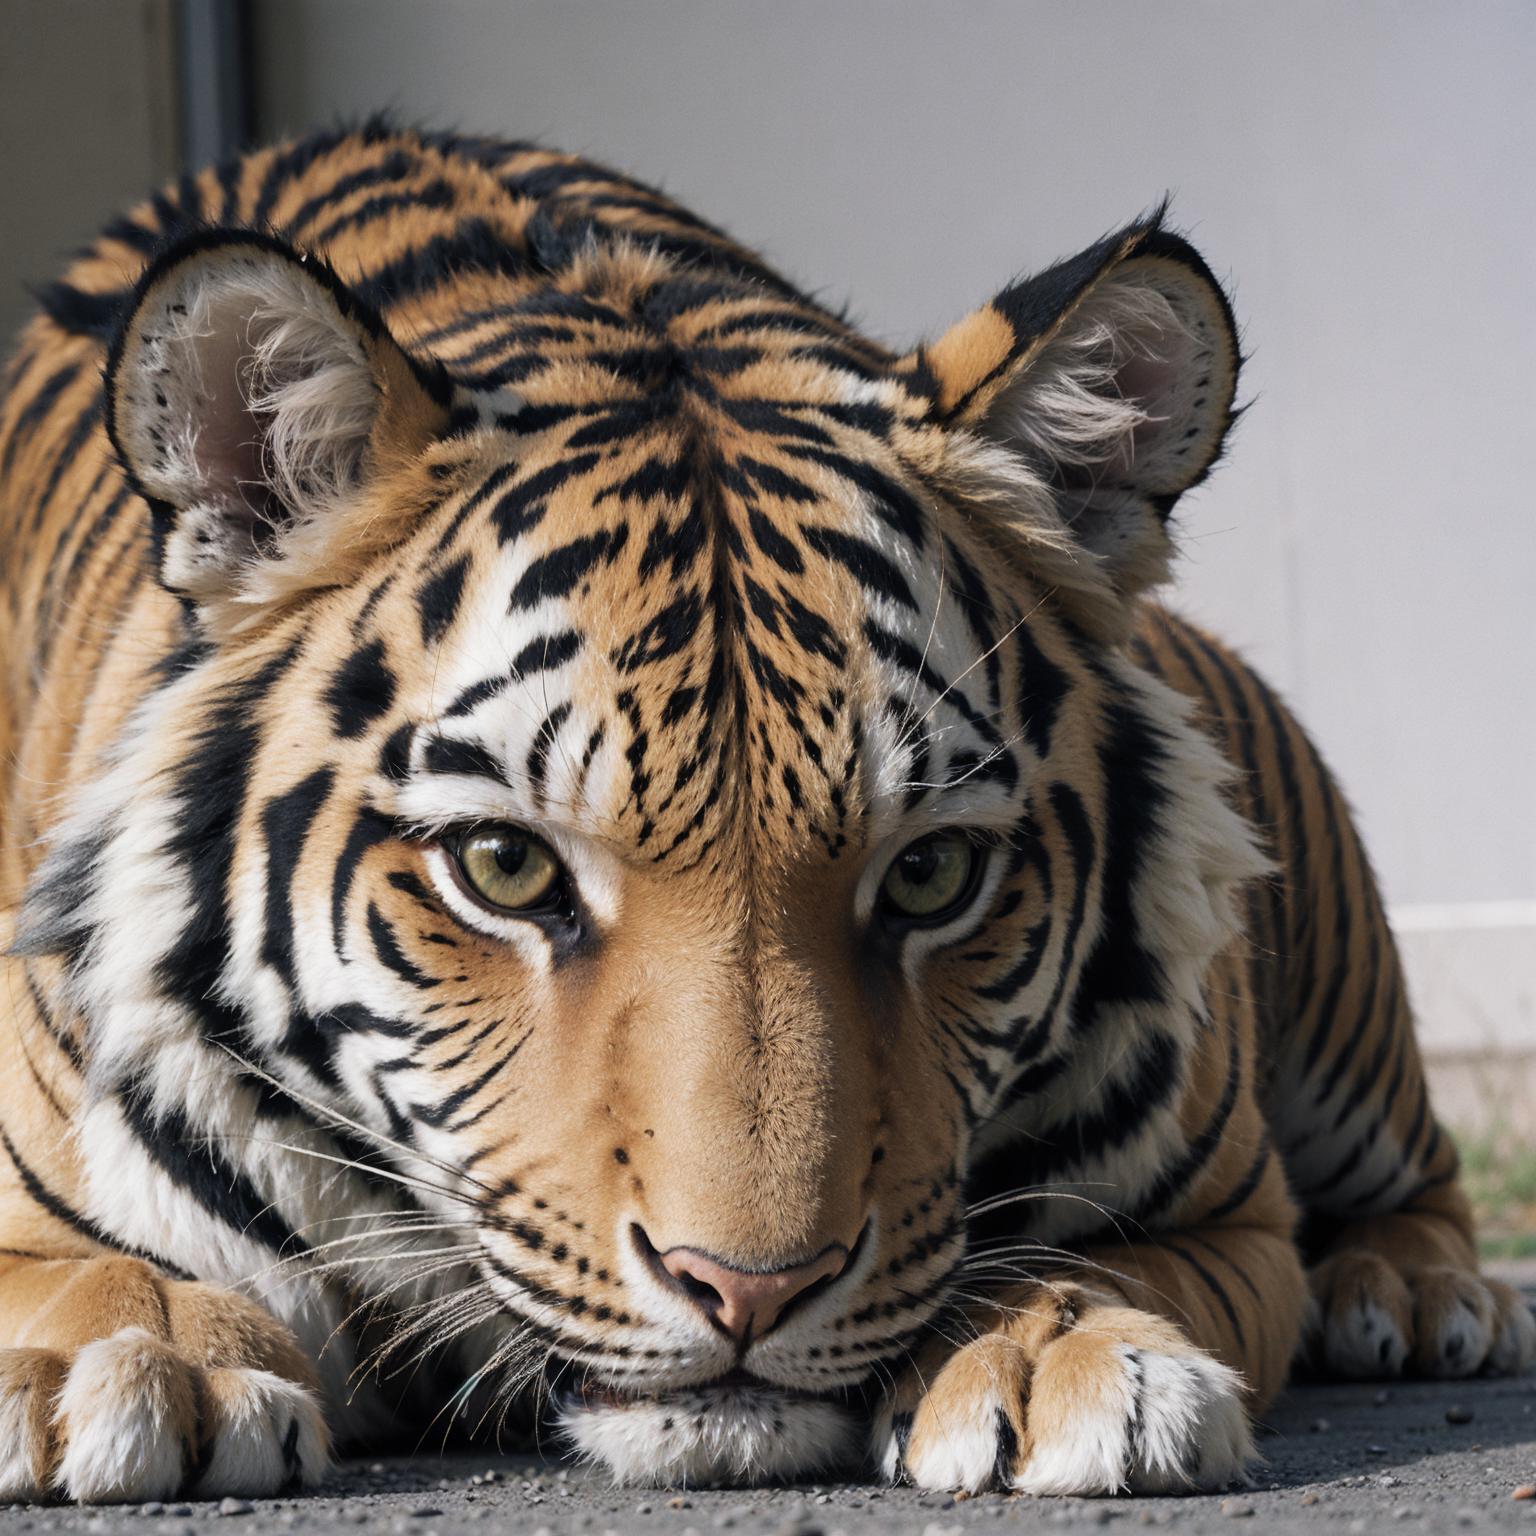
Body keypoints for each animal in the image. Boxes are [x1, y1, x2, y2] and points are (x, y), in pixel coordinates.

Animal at [0, 122, 1530, 1504]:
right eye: (504, 866)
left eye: (931, 876)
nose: (748, 1292)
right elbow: (86, 1271)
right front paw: (130, 1361)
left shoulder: (1231, 1210)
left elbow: (1090, 1252)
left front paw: (1072, 1357)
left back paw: (1417, 1294)